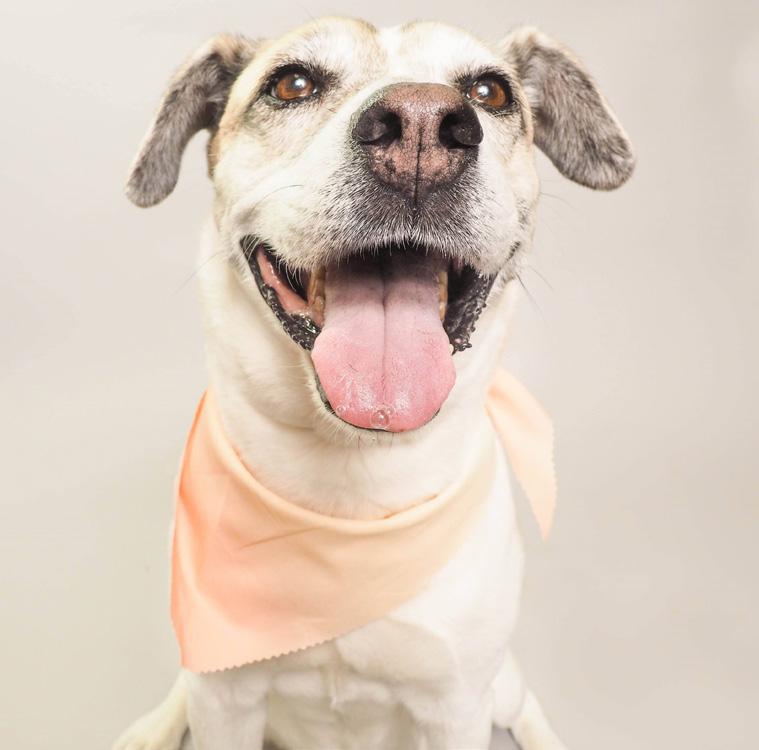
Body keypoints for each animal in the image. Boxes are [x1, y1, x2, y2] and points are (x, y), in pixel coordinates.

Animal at [113, 16, 634, 750]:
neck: (352, 490)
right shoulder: (226, 696)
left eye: (490, 91)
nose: (421, 125)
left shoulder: (455, 706)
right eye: (292, 83)